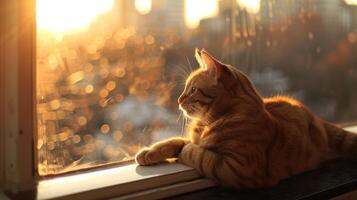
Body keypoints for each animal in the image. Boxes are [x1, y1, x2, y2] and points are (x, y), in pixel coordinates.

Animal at [135, 48, 354, 188]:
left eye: (194, 89)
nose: (179, 100)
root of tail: (314, 115)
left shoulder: (238, 168)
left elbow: (197, 153)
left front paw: (186, 151)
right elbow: (174, 141)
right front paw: (150, 152)